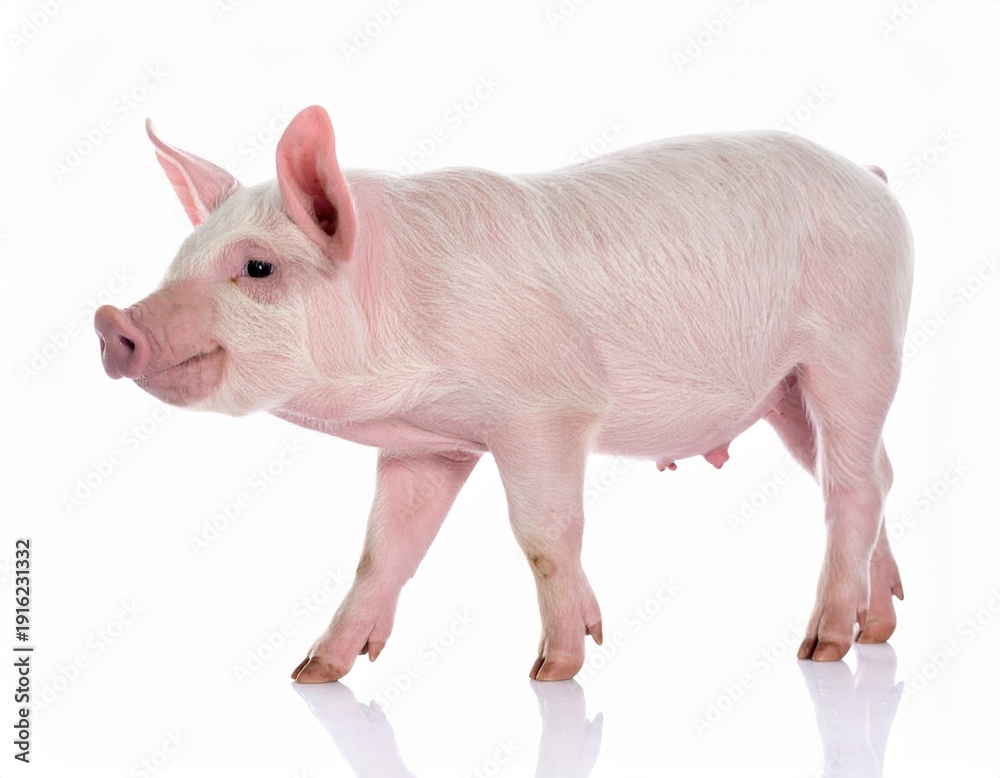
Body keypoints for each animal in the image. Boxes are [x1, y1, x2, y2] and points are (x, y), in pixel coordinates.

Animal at [94, 106, 912, 683]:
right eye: (179, 261)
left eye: (257, 268)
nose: (111, 321)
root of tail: (873, 177)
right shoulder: (428, 448)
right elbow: (384, 550)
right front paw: (312, 673)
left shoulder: (548, 411)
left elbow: (545, 536)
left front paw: (554, 668)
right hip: (788, 392)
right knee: (874, 475)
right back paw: (877, 625)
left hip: (856, 349)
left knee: (849, 486)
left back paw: (822, 647)